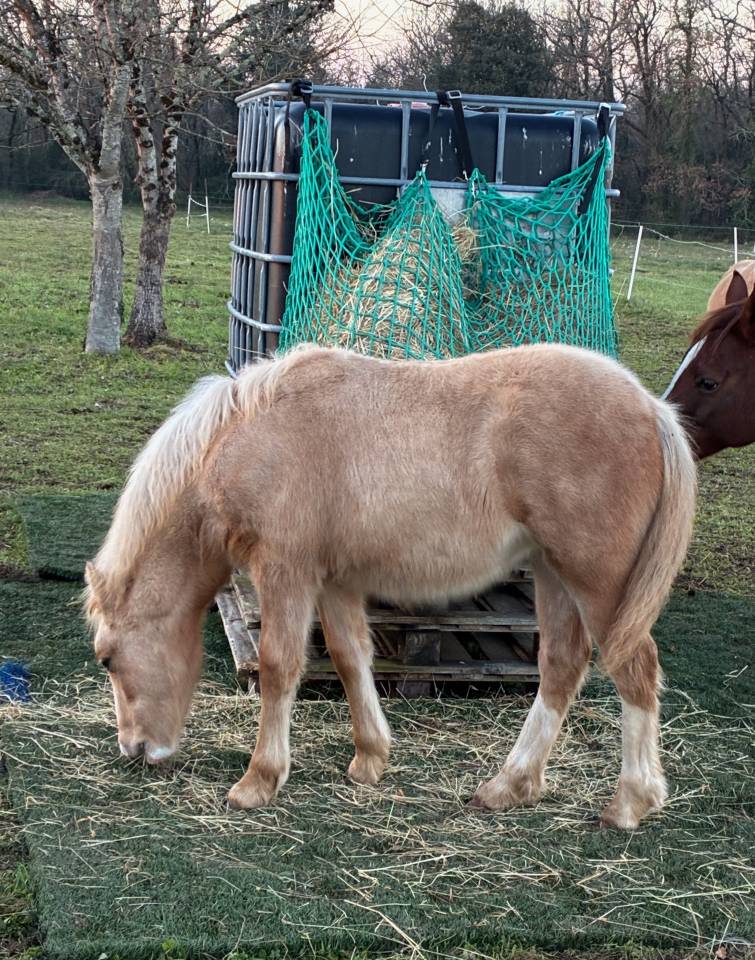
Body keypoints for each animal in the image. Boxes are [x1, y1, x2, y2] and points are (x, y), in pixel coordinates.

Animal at [85, 343, 696, 830]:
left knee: (636, 671)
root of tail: (653, 409)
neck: (259, 437)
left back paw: (630, 803)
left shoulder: (285, 572)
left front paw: (259, 781)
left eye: (107, 659)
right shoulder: (333, 583)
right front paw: (369, 758)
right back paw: (509, 786)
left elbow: (279, 667)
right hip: (552, 573)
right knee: (562, 668)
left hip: (597, 583)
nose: (134, 749)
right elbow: (350, 657)